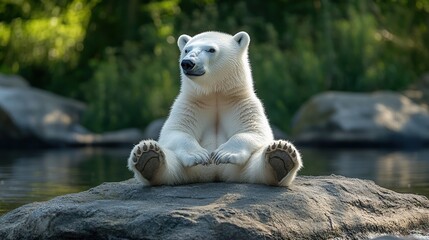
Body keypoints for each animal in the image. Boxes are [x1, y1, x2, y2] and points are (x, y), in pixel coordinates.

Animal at [127, 31, 300, 187]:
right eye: (187, 50)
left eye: (211, 49)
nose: (187, 63)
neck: (214, 94)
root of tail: (214, 175)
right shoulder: (190, 104)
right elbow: (175, 132)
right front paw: (199, 155)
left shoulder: (241, 103)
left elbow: (254, 131)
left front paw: (223, 154)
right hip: (187, 170)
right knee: (171, 164)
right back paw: (148, 156)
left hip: (239, 170)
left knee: (256, 165)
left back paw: (280, 155)